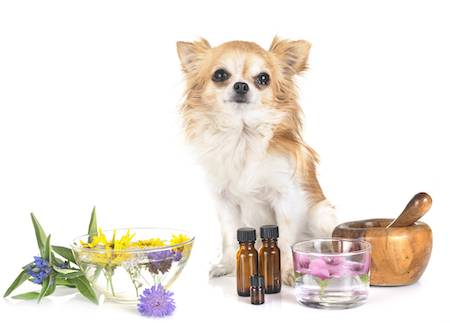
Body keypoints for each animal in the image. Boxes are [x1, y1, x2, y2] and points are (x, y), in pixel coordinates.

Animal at [178, 37, 336, 286]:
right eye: (220, 75)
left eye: (263, 78)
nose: (241, 86)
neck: (242, 137)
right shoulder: (224, 202)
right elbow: (228, 237)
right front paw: (227, 266)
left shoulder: (287, 198)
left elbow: (285, 239)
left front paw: (288, 271)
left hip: (321, 214)